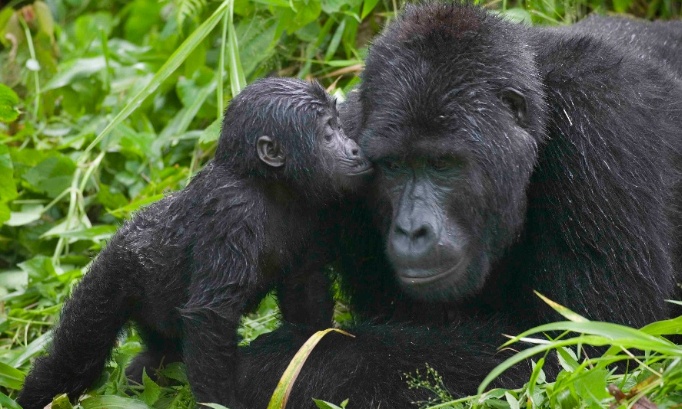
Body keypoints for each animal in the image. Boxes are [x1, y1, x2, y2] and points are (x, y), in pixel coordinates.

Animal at [17, 77, 372, 408]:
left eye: (339, 125)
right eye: (328, 133)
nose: (355, 149)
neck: (266, 184)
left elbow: (305, 290)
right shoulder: (233, 213)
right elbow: (211, 318)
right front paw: (222, 403)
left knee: (159, 359)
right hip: (111, 276)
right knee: (74, 359)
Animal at [235, 2, 680, 404]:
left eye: (442, 164)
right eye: (393, 166)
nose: (411, 229)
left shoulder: (600, 123)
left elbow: (585, 350)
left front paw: (285, 362)